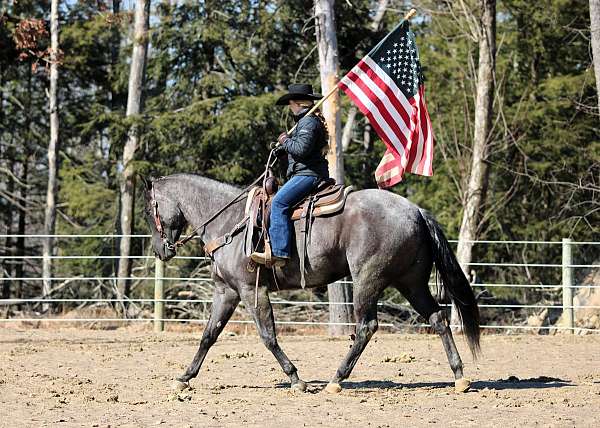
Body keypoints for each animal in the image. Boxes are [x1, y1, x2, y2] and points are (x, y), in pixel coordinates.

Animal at [143, 174, 480, 394]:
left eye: (149, 210)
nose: (160, 251)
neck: (231, 222)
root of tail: (416, 211)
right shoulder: (226, 292)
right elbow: (208, 335)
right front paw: (184, 377)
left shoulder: (252, 291)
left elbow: (268, 336)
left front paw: (296, 379)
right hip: (410, 282)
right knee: (437, 318)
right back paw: (459, 376)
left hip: (367, 280)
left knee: (366, 327)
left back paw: (336, 380)